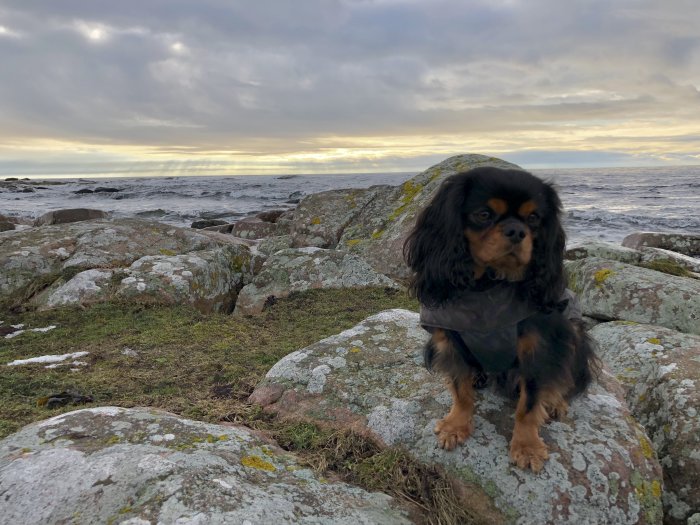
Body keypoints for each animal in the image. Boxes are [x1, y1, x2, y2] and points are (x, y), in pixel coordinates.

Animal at [404, 167, 596, 470]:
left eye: (534, 218)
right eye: (484, 214)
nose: (517, 231)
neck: (488, 285)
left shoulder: (539, 347)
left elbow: (529, 403)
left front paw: (527, 446)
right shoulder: (450, 340)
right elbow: (460, 391)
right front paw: (456, 426)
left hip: (574, 332)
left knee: (565, 377)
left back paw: (556, 401)